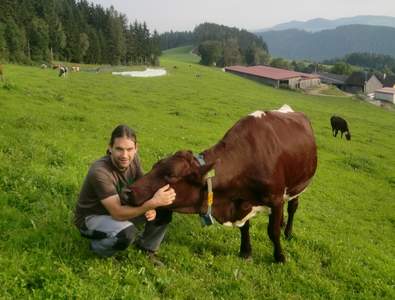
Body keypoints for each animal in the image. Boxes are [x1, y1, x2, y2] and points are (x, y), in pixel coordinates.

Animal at [128, 105, 320, 262]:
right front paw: (245, 252)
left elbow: (272, 232)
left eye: (171, 175)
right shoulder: (241, 200)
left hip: (300, 185)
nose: (128, 192)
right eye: (155, 165)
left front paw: (279, 257)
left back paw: (287, 232)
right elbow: (245, 227)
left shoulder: (275, 198)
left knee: (293, 207)